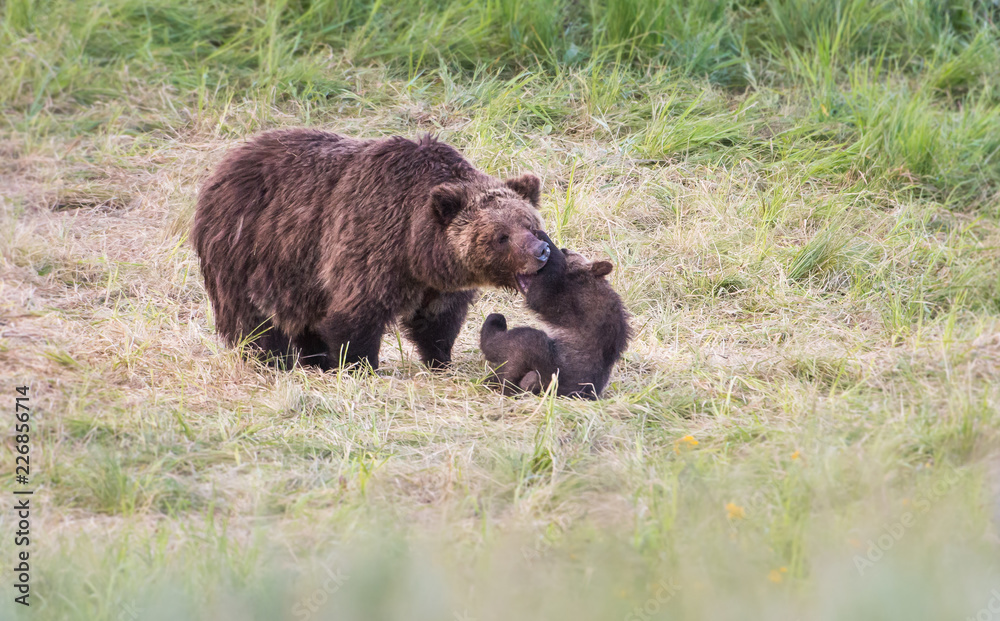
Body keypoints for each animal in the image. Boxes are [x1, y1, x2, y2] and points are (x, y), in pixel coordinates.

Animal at [191, 126, 552, 368]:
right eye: (501, 236)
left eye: (533, 226)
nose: (540, 252)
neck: (415, 248)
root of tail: (222, 166)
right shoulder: (369, 242)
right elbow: (356, 315)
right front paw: (359, 364)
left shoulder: (436, 282)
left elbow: (438, 321)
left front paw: (439, 359)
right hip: (249, 250)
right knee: (254, 319)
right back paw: (271, 358)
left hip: (297, 274)